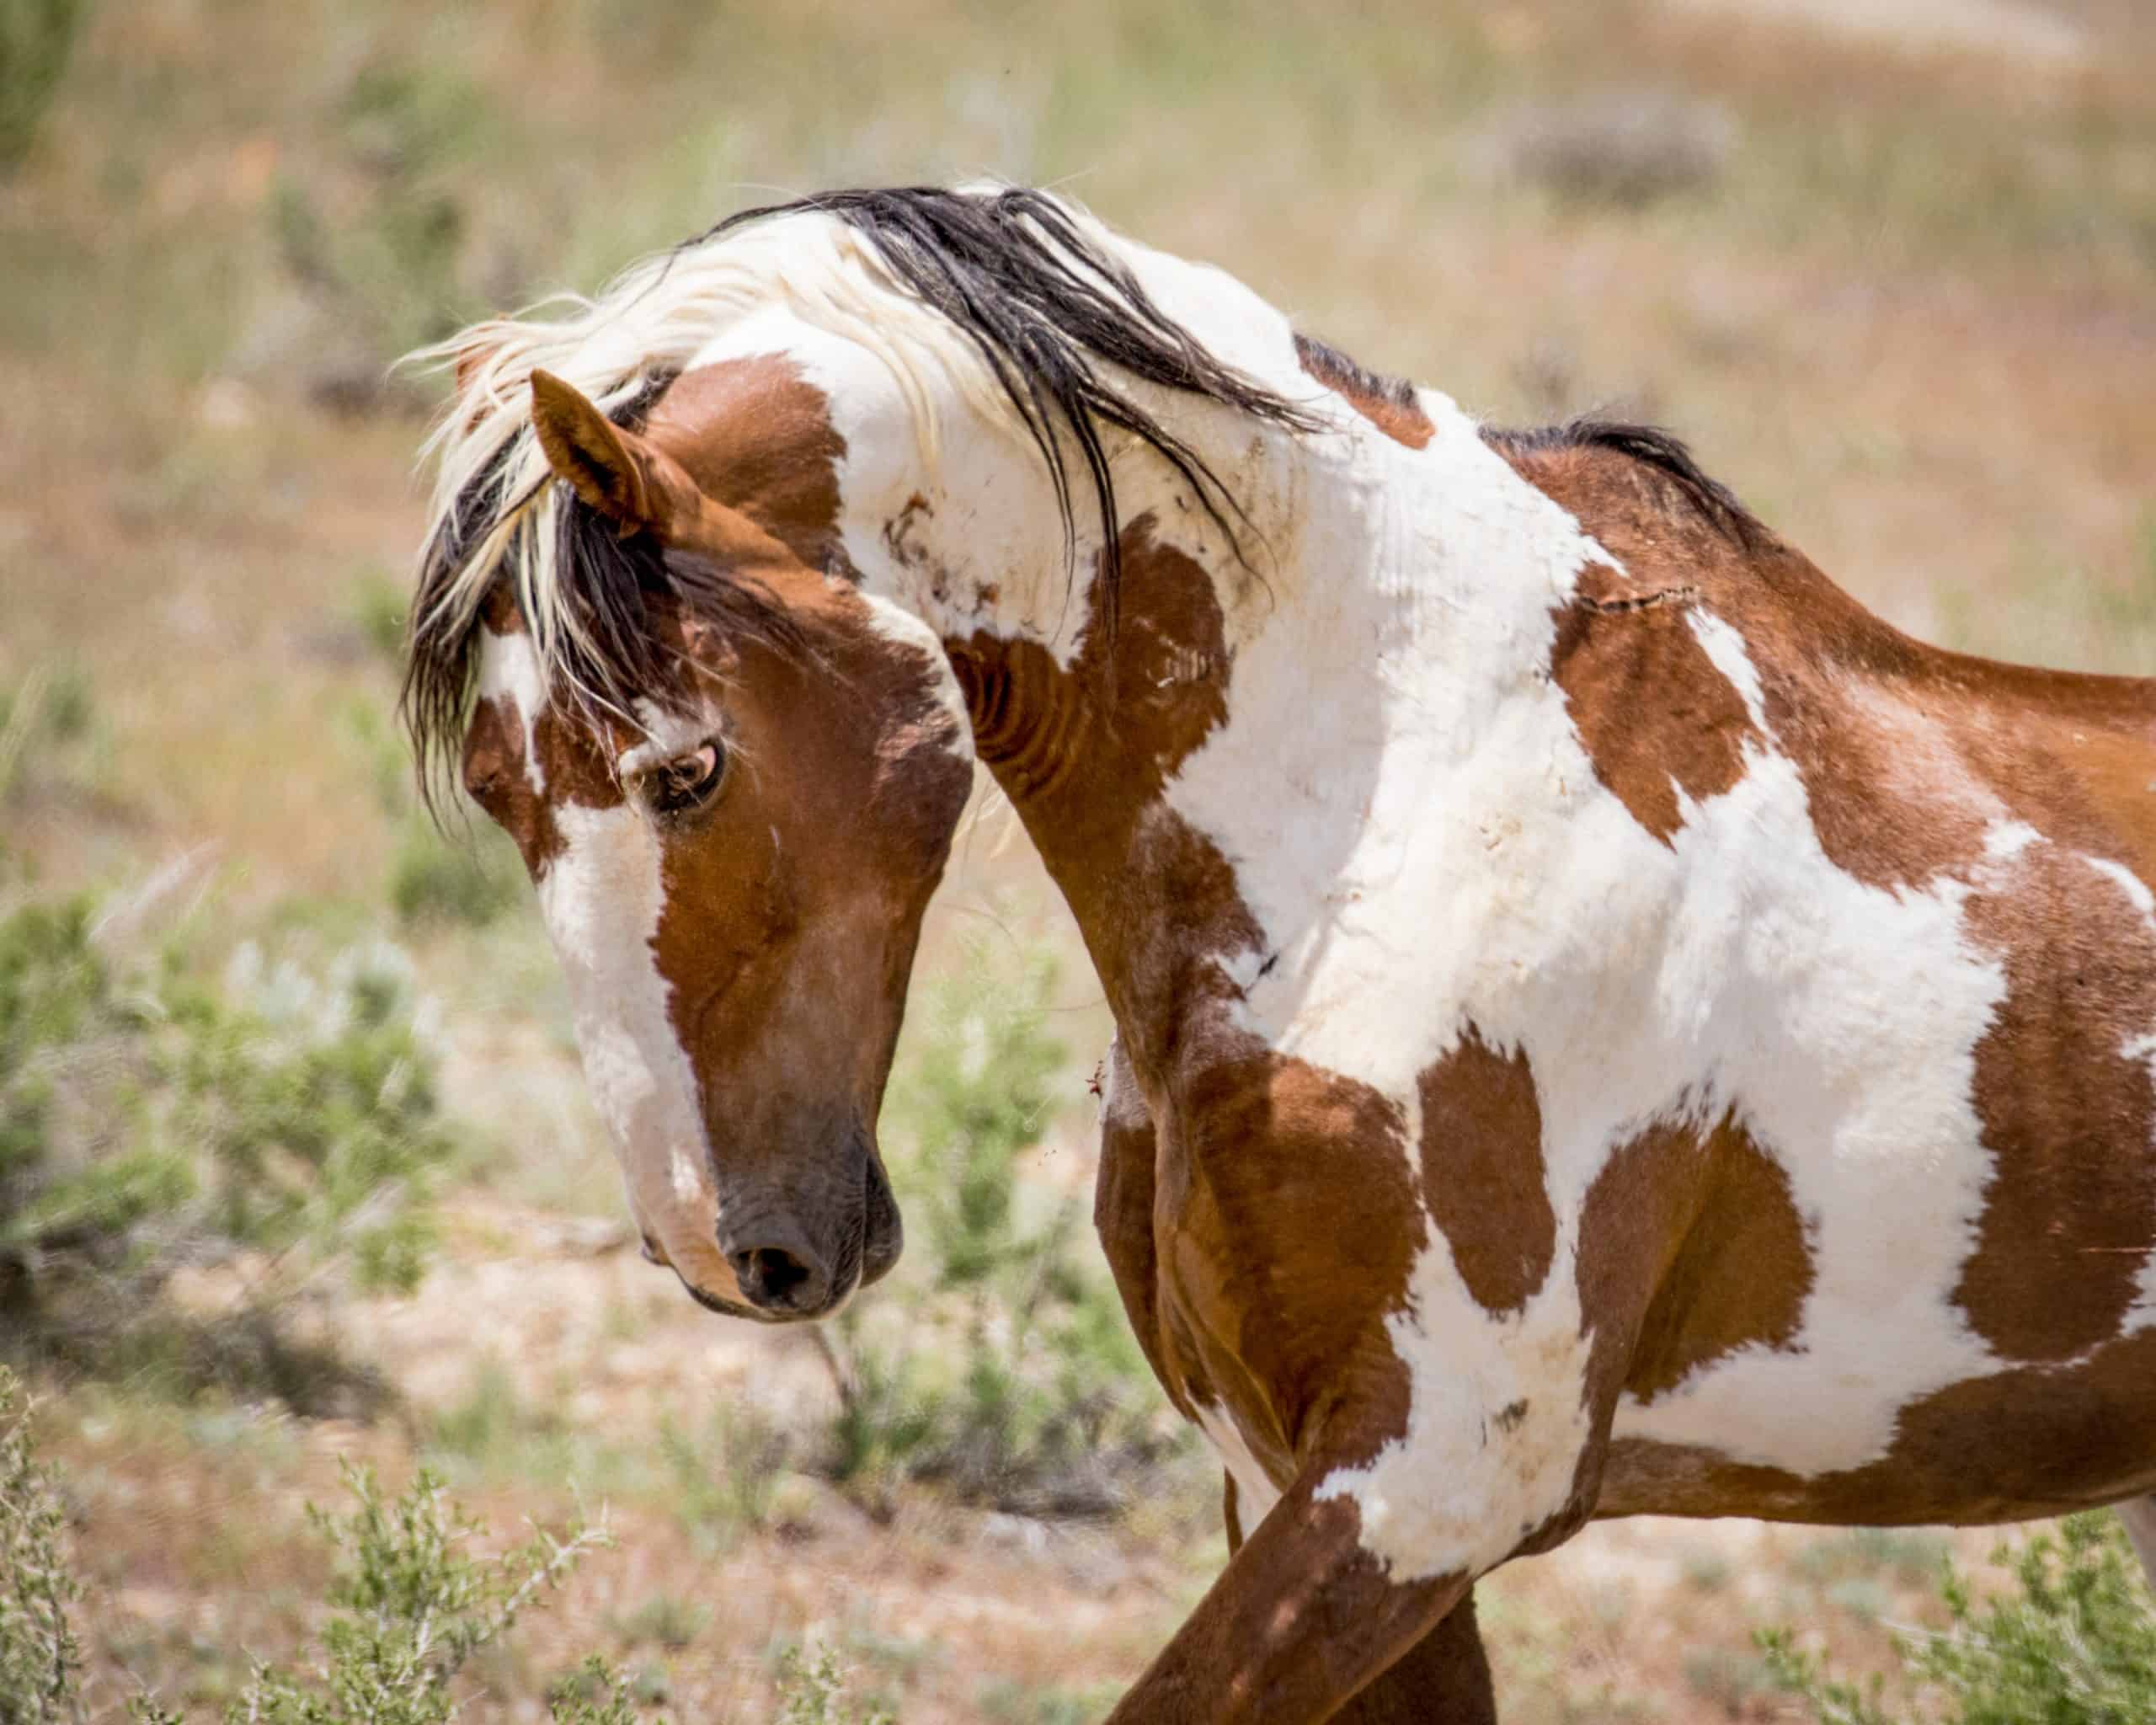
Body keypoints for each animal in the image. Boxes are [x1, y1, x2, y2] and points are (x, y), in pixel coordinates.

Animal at [405, 182, 2156, 1716]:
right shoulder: (1292, 1472)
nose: (722, 1248)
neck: (1415, 784)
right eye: (496, 791)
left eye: (686, 768)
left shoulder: (1425, 1486)